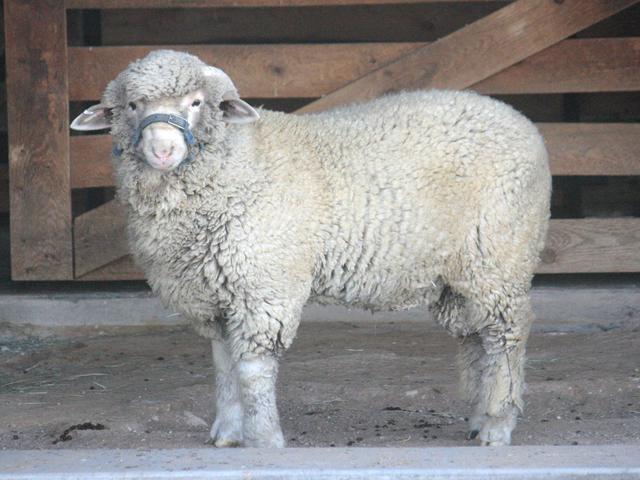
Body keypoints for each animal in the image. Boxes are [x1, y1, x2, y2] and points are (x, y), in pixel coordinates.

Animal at [71, 49, 551, 448]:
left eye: (196, 102)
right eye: (132, 106)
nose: (163, 150)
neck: (237, 163)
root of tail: (518, 118)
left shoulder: (264, 288)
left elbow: (253, 369)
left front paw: (265, 438)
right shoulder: (218, 295)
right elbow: (224, 365)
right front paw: (227, 432)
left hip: (500, 256)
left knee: (507, 336)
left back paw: (498, 424)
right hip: (458, 277)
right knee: (478, 340)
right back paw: (479, 416)